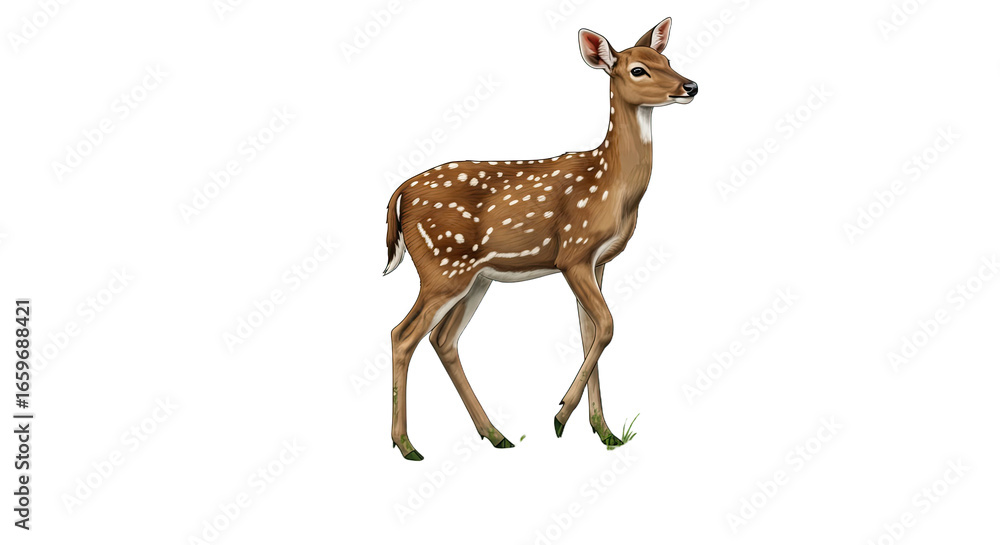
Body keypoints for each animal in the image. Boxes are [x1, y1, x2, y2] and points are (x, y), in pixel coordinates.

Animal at [382, 17, 697, 460]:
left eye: (666, 60)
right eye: (638, 69)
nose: (690, 86)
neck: (612, 187)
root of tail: (400, 193)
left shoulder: (599, 262)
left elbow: (589, 333)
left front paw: (605, 432)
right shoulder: (573, 254)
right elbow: (607, 325)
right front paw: (561, 416)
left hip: (475, 278)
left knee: (442, 340)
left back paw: (495, 434)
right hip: (442, 266)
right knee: (403, 334)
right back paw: (407, 445)